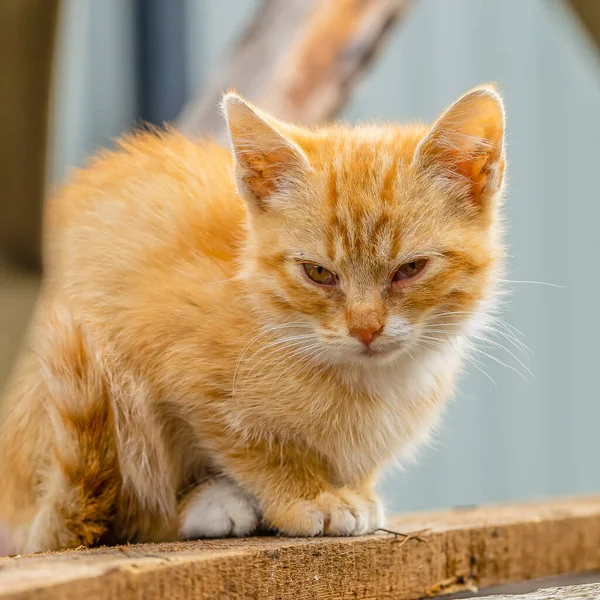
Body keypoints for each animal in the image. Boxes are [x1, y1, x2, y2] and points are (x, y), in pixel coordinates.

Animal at [0, 84, 506, 552]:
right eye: (318, 273)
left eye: (410, 269)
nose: (365, 328)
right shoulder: (168, 352)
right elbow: (249, 443)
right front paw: (308, 495)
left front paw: (352, 488)